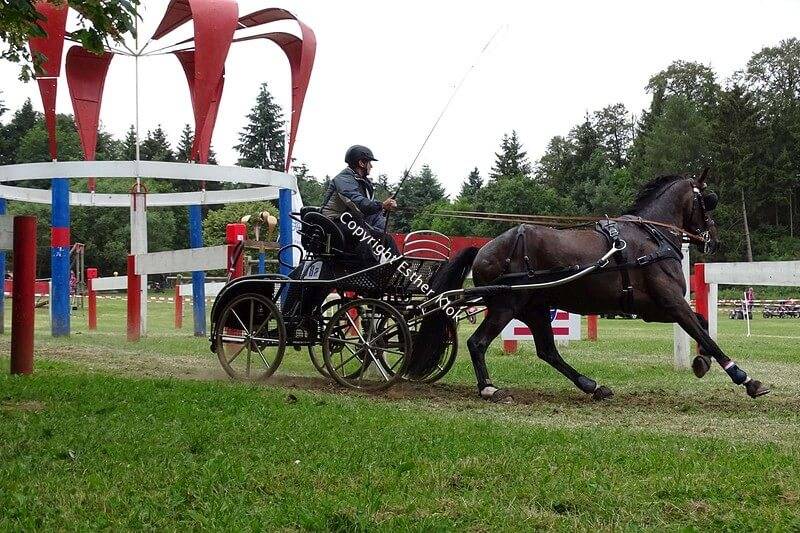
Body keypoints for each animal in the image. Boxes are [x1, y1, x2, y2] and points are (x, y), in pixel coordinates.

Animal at [409, 171, 770, 402]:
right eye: (708, 200)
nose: (714, 239)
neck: (652, 238)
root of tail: (484, 248)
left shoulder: (655, 309)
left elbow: (703, 324)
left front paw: (701, 363)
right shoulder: (670, 303)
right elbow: (705, 334)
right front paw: (746, 379)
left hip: (534, 308)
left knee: (548, 351)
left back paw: (591, 386)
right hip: (506, 305)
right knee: (478, 343)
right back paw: (488, 388)